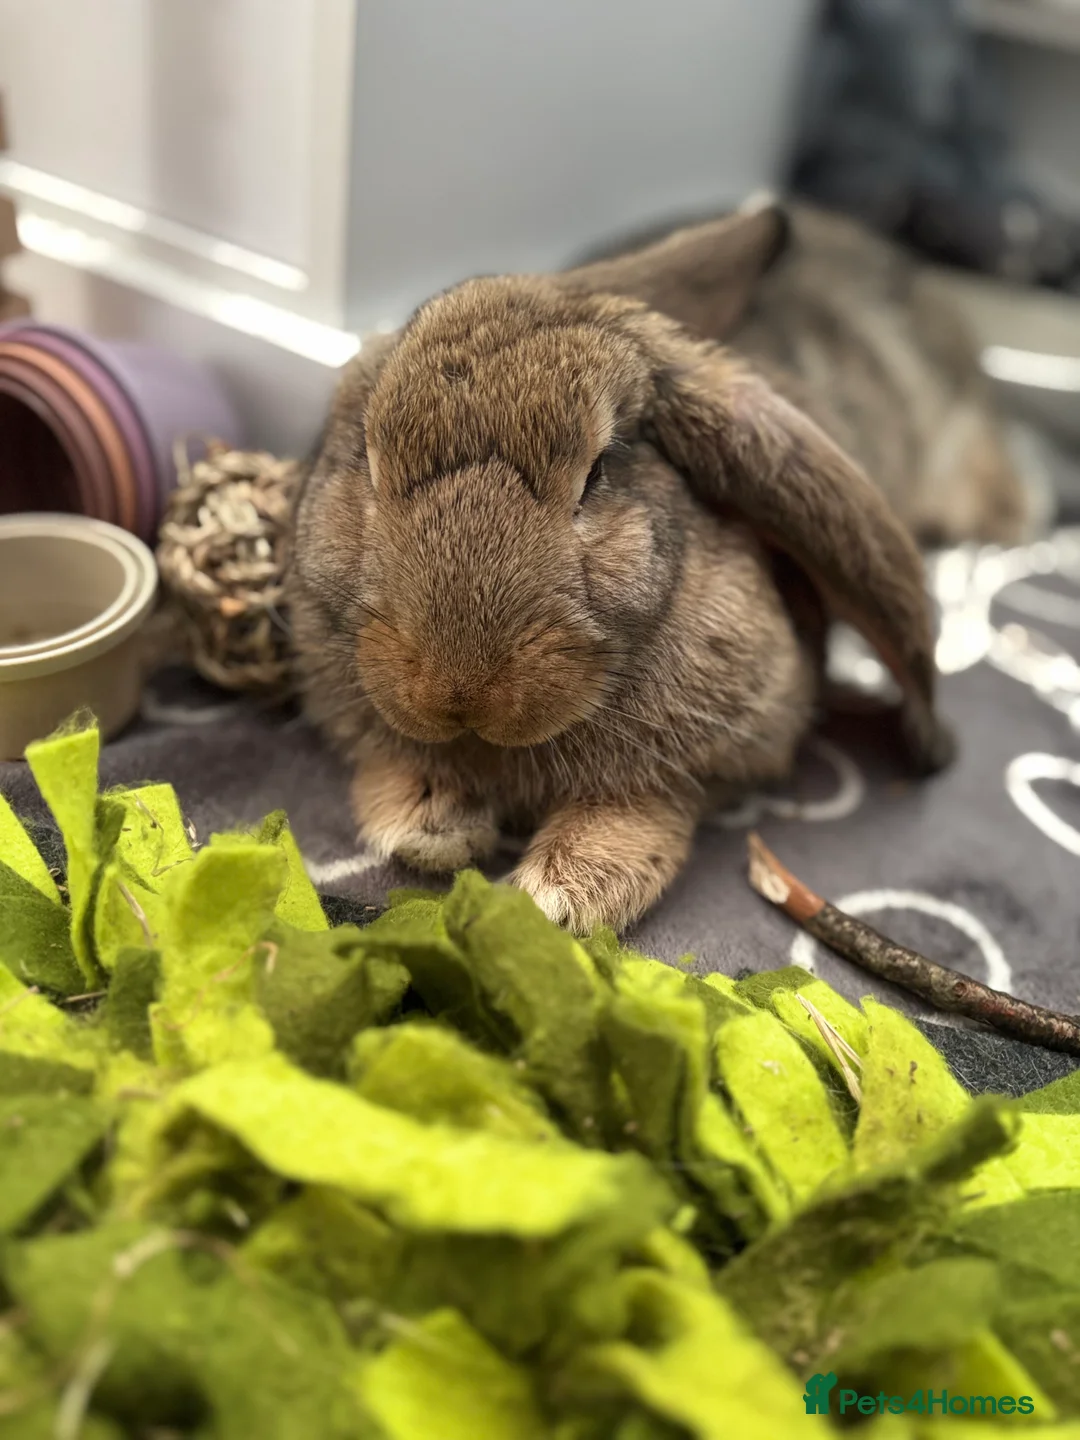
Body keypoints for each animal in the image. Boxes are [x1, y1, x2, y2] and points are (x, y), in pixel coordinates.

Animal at [287, 195, 960, 936]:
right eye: (369, 458)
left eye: (600, 470)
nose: (457, 689)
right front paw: (430, 828)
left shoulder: (701, 764)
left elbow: (643, 815)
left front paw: (554, 898)